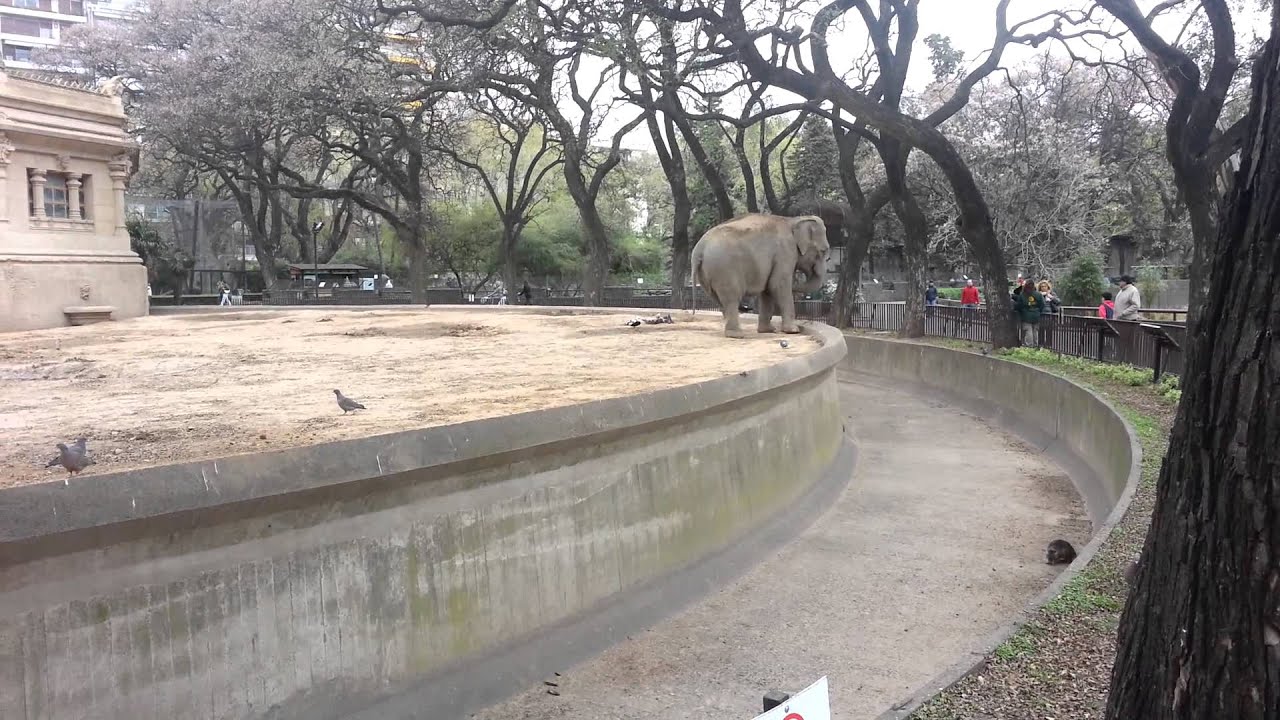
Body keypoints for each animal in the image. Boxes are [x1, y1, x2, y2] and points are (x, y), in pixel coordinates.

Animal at [692, 213, 829, 338]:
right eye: (823, 251)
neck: (793, 220)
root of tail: (699, 248)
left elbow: (768, 289)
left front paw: (768, 331)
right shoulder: (785, 252)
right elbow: (777, 285)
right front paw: (793, 331)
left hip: (708, 273)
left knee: (720, 300)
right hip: (724, 269)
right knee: (731, 298)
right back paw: (737, 334)